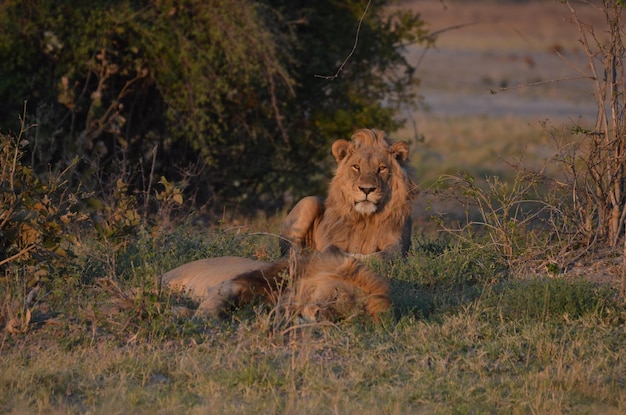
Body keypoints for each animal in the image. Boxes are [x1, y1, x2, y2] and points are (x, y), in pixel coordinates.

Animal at [158, 252, 388, 324]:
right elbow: (214, 307)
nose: (318, 315)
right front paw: (194, 316)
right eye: (336, 294)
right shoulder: (232, 284)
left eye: (341, 317)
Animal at [278, 128, 414, 262]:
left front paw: (361, 257)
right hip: (309, 201)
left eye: (381, 168)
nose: (366, 189)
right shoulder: (331, 241)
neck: (366, 219)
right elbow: (332, 252)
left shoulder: (398, 244)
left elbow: (383, 256)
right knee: (290, 250)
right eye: (356, 167)